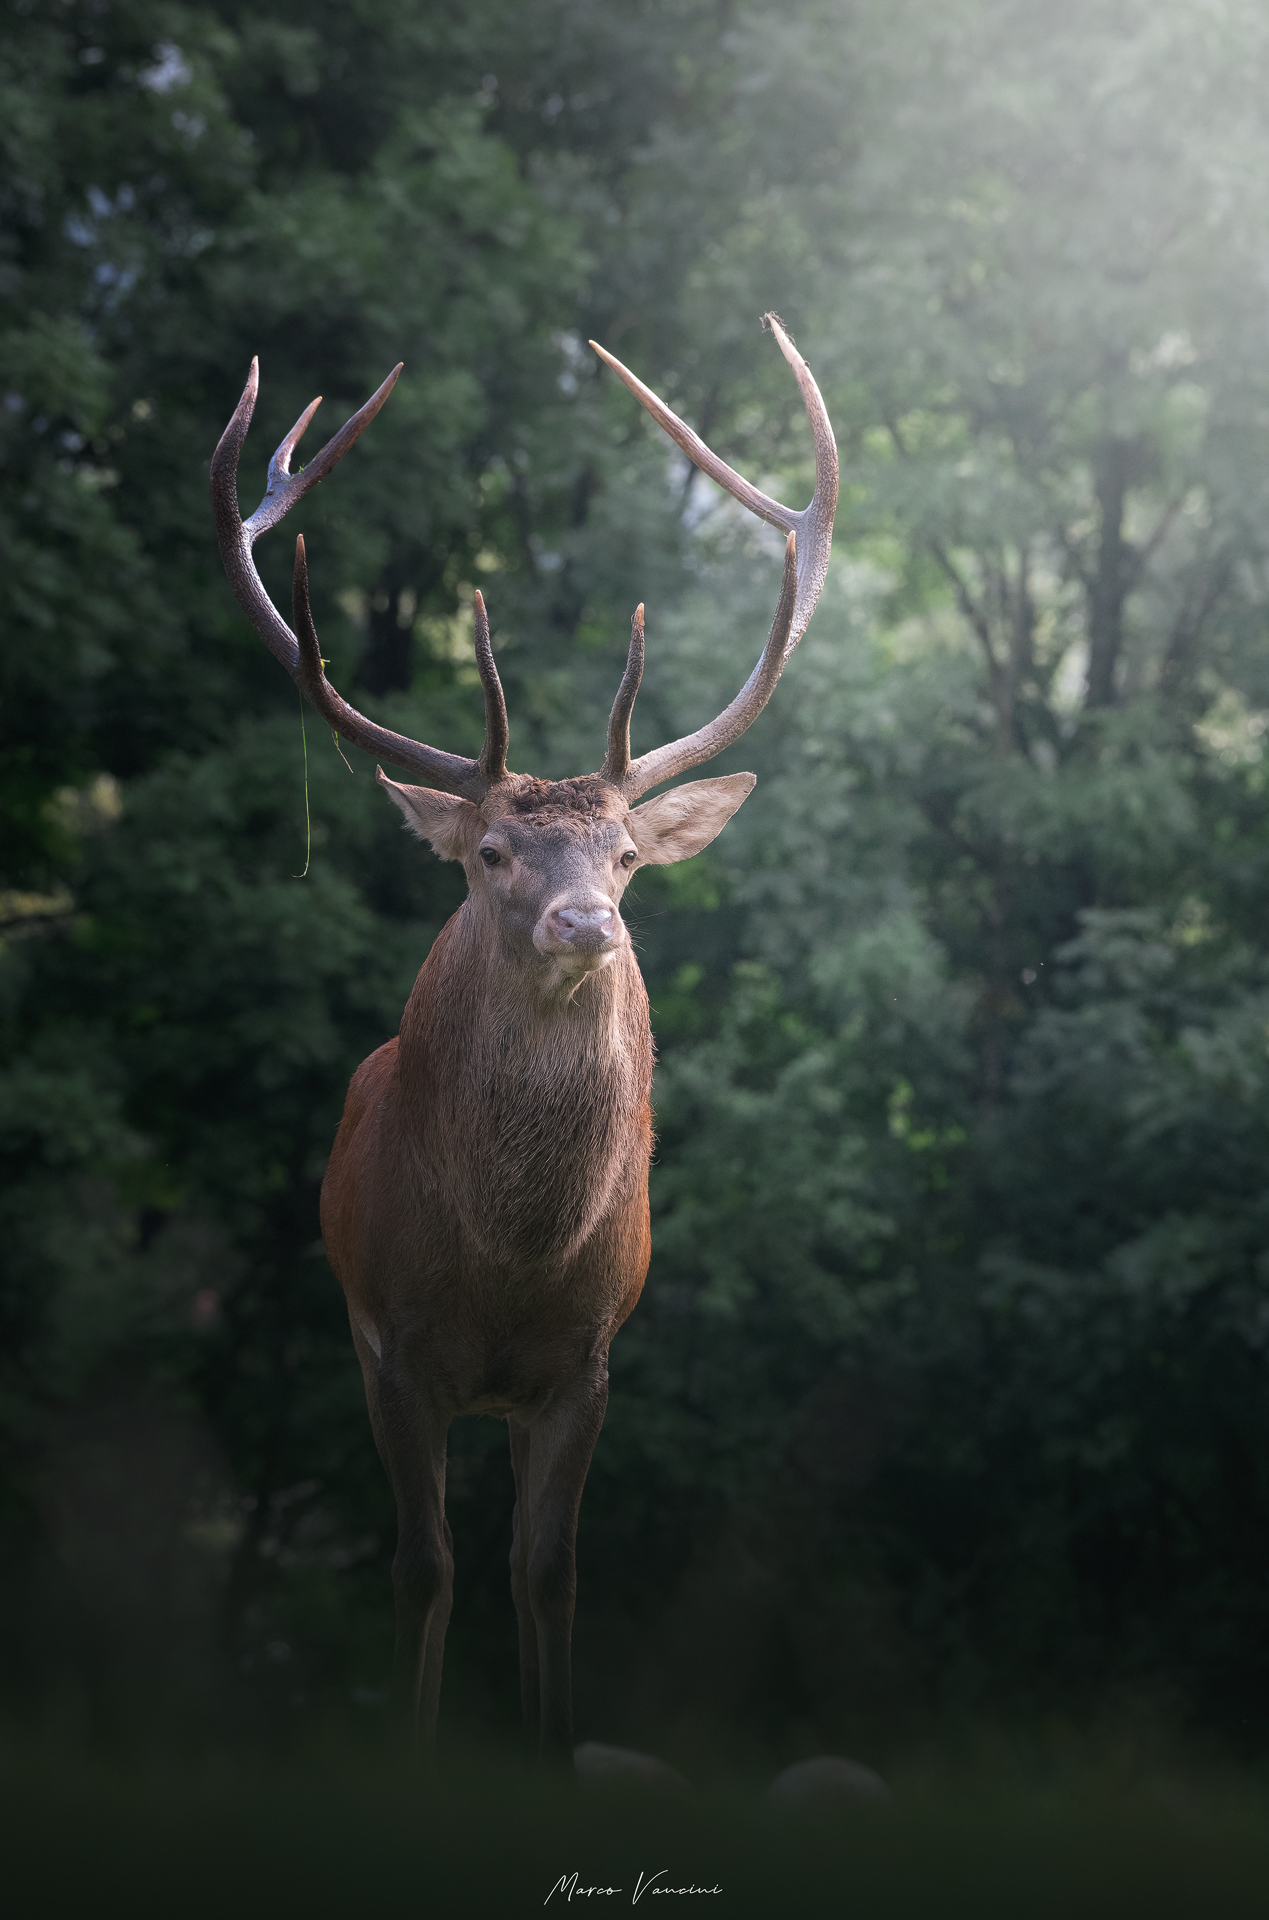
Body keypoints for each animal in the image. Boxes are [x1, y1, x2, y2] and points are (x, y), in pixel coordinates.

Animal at [210, 314, 837, 1768]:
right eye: (492, 850)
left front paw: (554, 1749)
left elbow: (547, 1571)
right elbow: (419, 1568)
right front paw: (413, 1750)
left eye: (625, 853)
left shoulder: (588, 1361)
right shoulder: (390, 1343)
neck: (508, 1259)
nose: (584, 920)